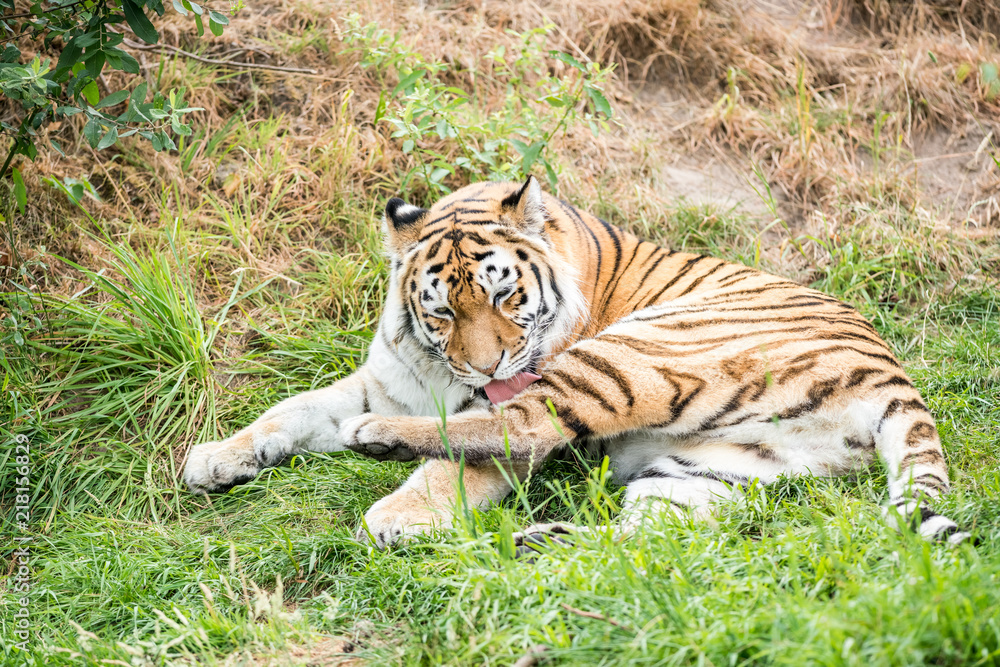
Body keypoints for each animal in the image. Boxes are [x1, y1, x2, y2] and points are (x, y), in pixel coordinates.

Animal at [183, 176, 969, 549]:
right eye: (443, 312)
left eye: (505, 294)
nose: (487, 368)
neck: (440, 375)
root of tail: (891, 374)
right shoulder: (387, 380)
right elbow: (290, 408)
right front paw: (216, 458)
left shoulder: (485, 393)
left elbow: (461, 460)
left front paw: (399, 517)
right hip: (710, 469)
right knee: (645, 542)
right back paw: (539, 541)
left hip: (632, 351)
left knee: (524, 429)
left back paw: (379, 444)